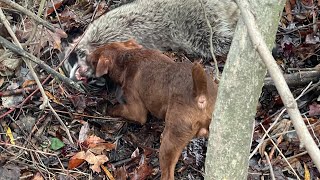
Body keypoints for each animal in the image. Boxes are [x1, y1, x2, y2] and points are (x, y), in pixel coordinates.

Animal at [77, 39, 218, 180]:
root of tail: (201, 95)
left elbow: (117, 108)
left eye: (91, 60)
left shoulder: (136, 111)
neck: (125, 58)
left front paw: (107, 108)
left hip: (171, 140)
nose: (79, 69)